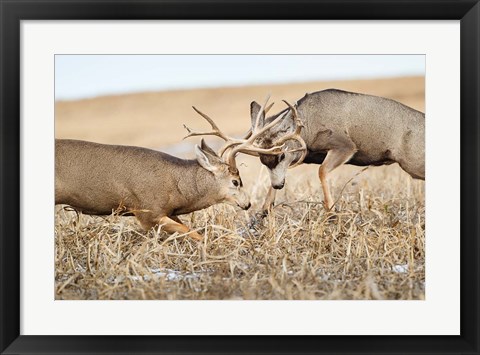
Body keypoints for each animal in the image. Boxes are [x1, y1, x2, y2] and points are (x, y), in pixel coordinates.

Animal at [55, 135, 251, 241]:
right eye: (236, 181)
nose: (248, 204)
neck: (176, 184)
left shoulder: (168, 211)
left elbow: (185, 227)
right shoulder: (147, 211)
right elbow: (189, 231)